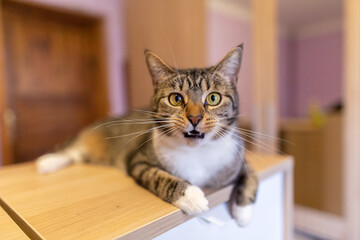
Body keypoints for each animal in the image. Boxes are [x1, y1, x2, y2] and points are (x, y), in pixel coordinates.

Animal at [34, 44, 258, 226]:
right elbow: (161, 178)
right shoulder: (138, 161)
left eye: (213, 98)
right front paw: (192, 196)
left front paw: (243, 213)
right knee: (72, 150)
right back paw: (47, 162)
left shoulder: (238, 160)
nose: (195, 118)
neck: (197, 152)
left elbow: (251, 177)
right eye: (176, 99)